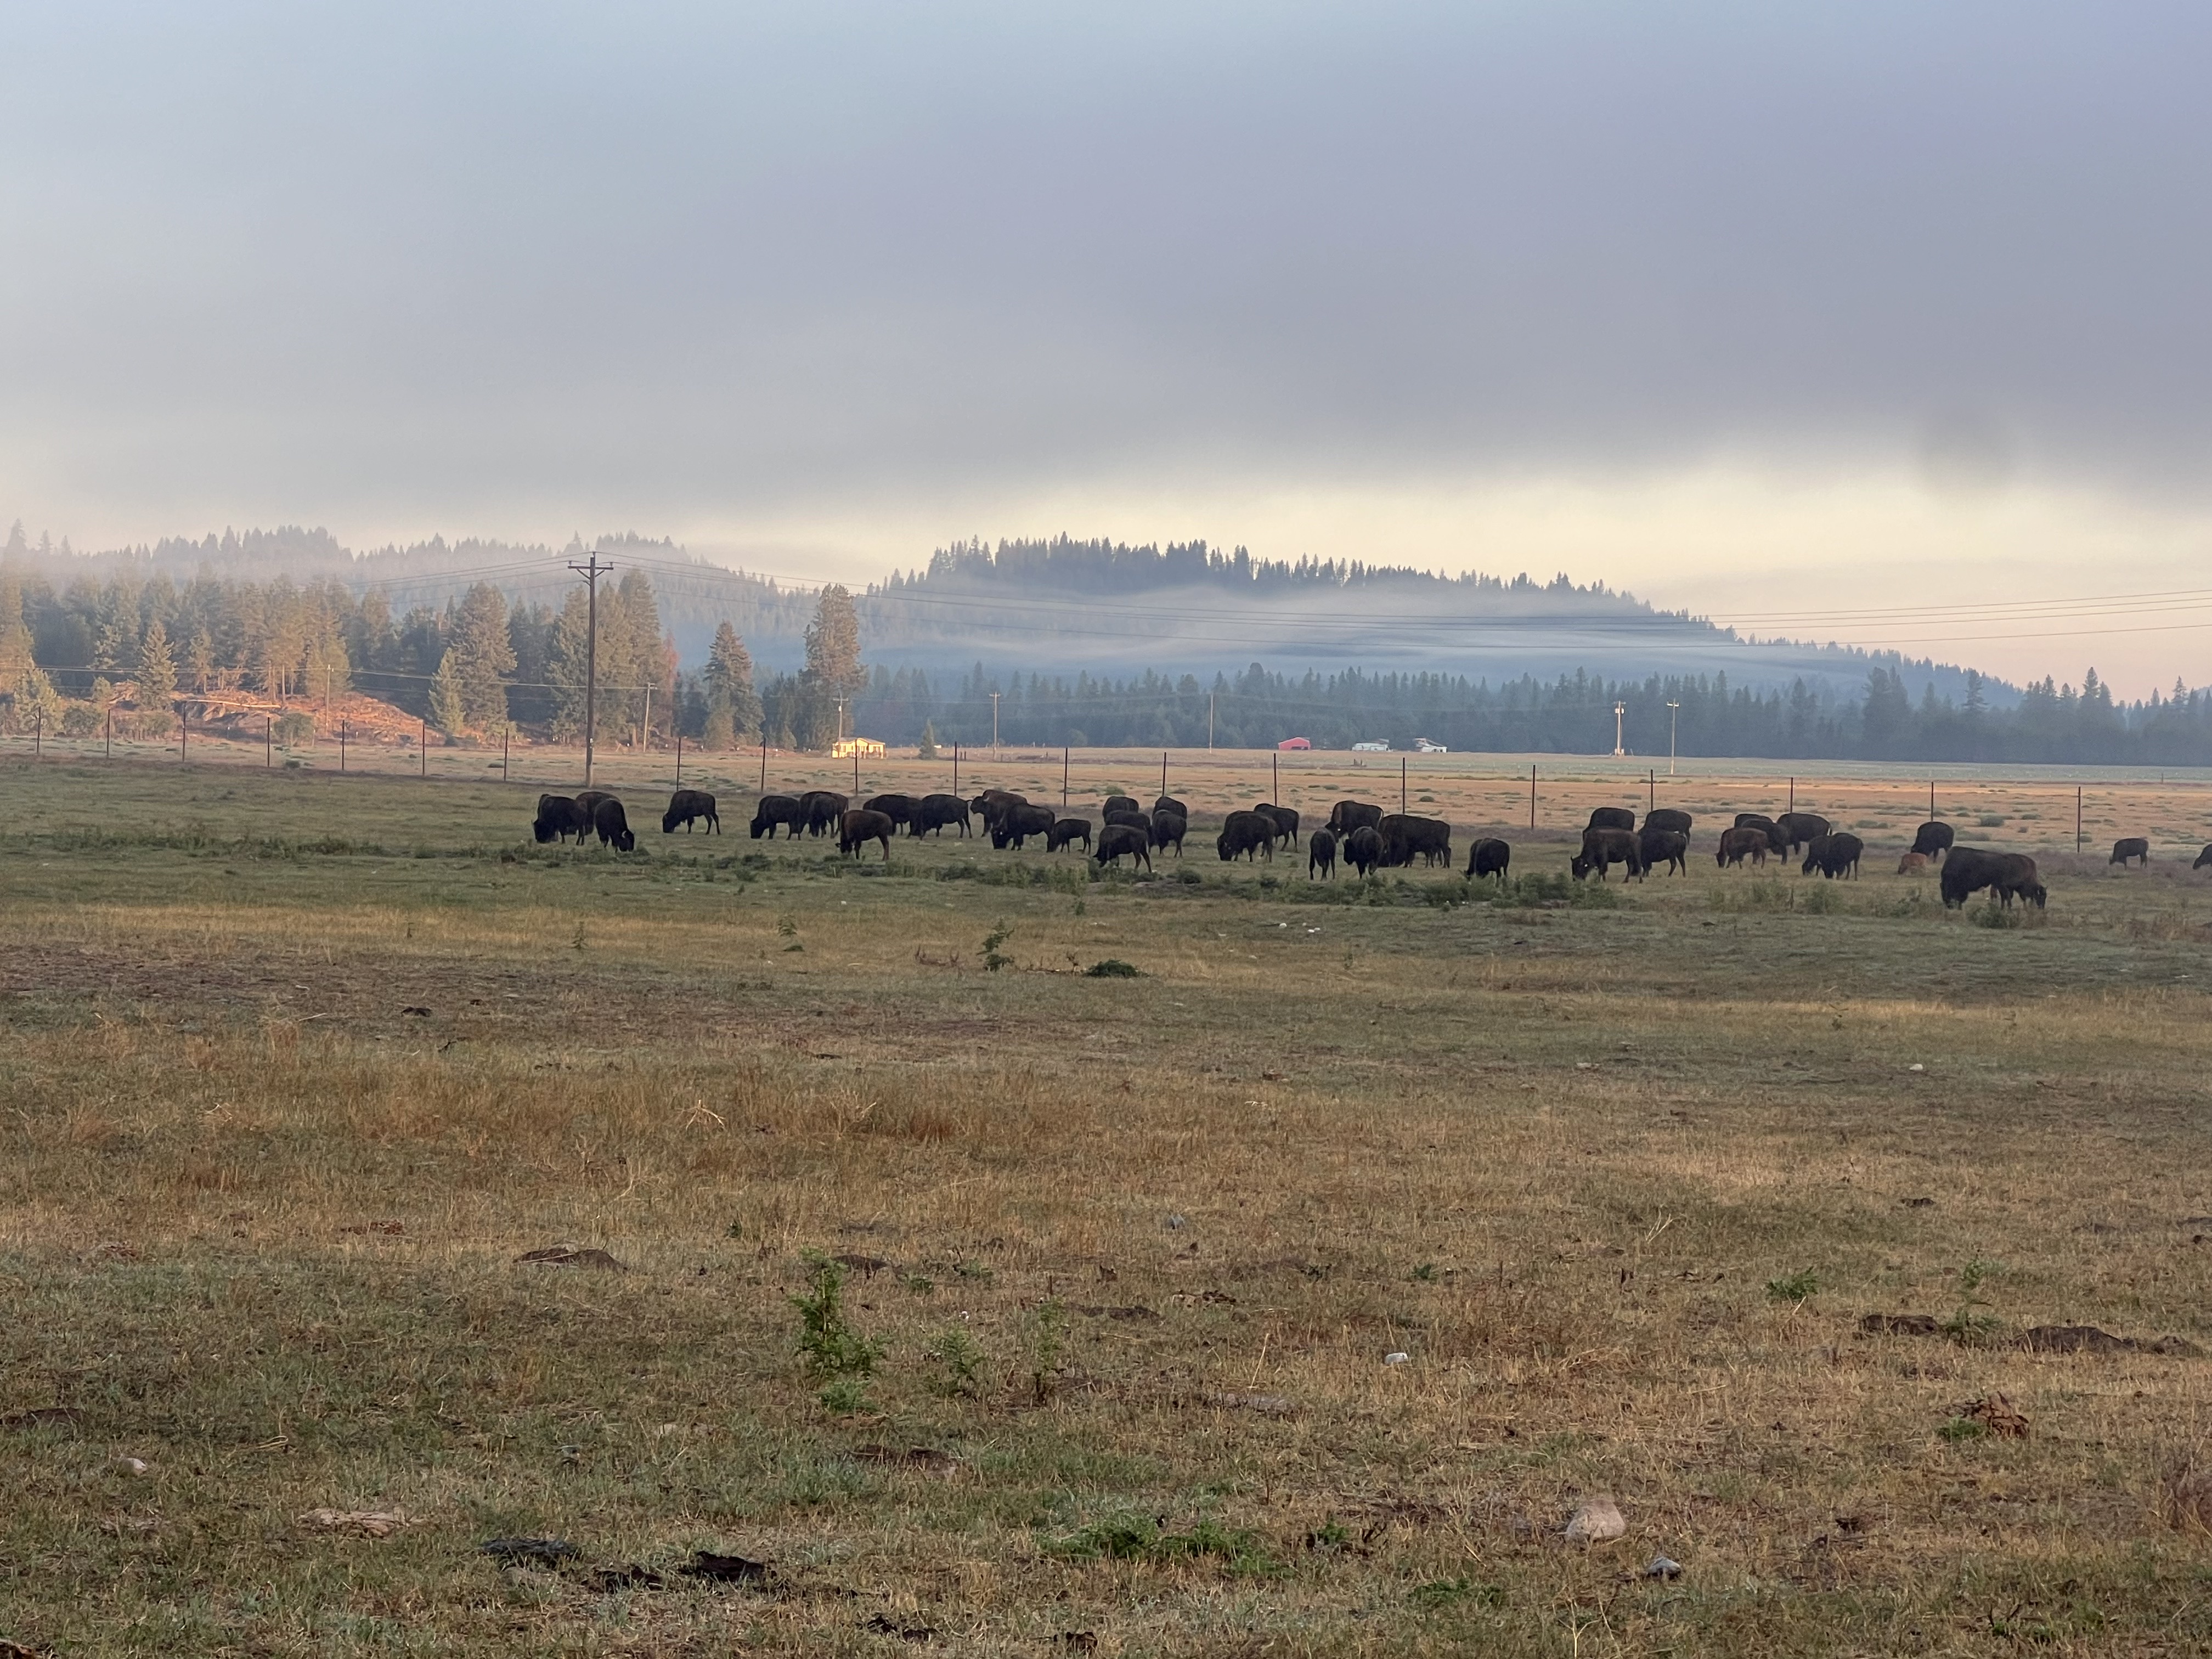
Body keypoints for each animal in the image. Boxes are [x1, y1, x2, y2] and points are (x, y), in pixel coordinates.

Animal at [1379, 813, 1452, 868]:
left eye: (1384, 853)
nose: (1382, 864)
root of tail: (1447, 826)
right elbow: (1408, 857)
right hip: (1442, 845)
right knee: (1448, 851)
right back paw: (1447, 866)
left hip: (1442, 844)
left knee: (1446, 852)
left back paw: (1445, 866)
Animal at [1571, 826, 1642, 881]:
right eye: (1573, 868)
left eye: (1579, 868)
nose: (1575, 879)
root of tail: (1637, 837)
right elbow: (1603, 872)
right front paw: (1604, 880)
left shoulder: (1603, 861)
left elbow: (1602, 871)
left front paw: (1598, 881)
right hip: (1629, 858)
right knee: (1631, 867)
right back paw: (1625, 881)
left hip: (1636, 856)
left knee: (1639, 867)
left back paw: (1640, 881)